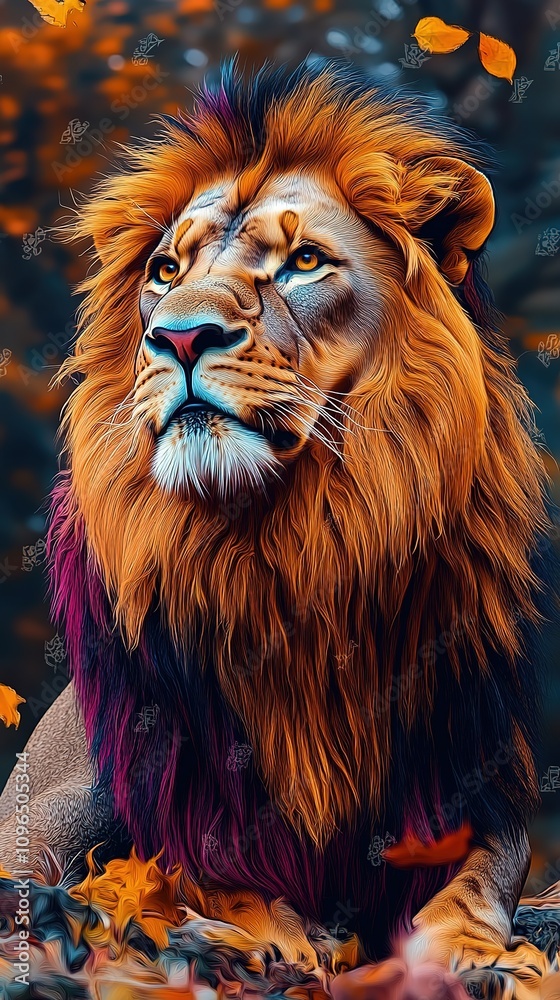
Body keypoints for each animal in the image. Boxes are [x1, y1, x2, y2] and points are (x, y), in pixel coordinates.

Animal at [0, 60, 556, 998]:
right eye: (164, 269)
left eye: (303, 262)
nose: (180, 336)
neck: (291, 539)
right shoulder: (181, 770)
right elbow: (208, 864)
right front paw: (273, 937)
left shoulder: (472, 766)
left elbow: (480, 877)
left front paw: (473, 952)